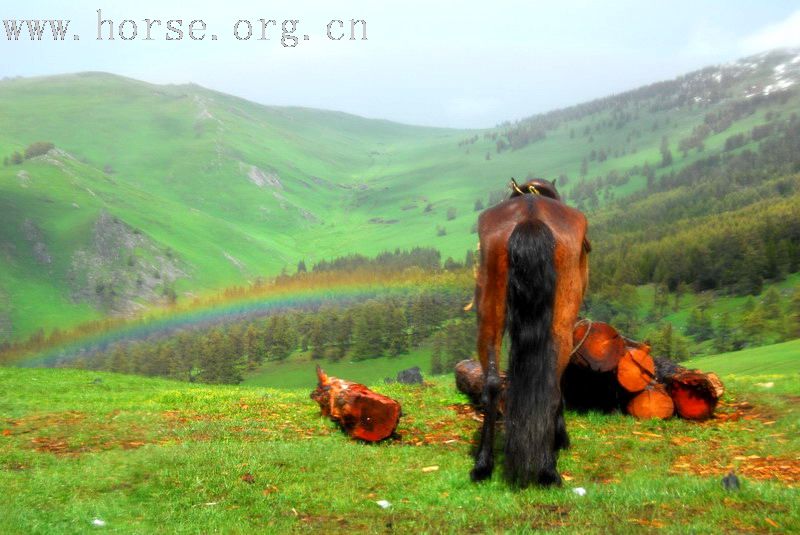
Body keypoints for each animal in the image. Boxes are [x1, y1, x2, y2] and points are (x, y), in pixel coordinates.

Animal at [468, 178, 588, 488]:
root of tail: (530, 216)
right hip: (561, 325)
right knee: (553, 384)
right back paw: (548, 468)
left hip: (489, 315)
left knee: (491, 383)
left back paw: (483, 465)